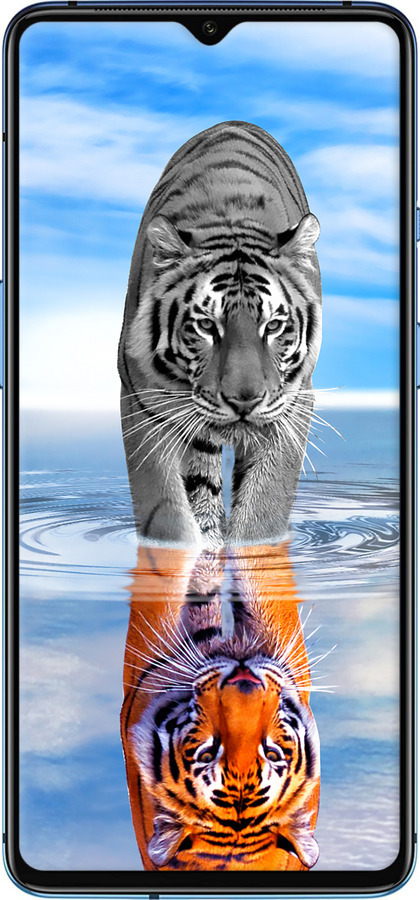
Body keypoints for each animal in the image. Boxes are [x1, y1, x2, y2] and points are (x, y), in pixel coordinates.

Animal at [118, 120, 322, 548]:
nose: (244, 400)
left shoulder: (293, 404)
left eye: (273, 326)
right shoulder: (142, 401)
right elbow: (165, 511)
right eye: (207, 325)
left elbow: (264, 509)